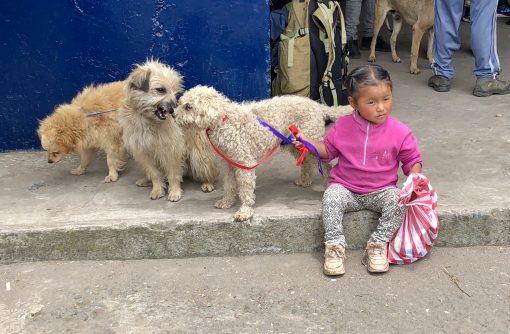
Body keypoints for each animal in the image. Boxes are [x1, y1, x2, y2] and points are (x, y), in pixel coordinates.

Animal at [118, 59, 218, 201]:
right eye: (161, 90)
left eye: (175, 91)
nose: (174, 109)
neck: (148, 121)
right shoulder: (143, 152)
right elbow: (154, 174)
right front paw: (157, 189)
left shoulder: (171, 150)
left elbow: (173, 174)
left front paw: (174, 191)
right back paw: (145, 180)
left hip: (198, 155)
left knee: (209, 169)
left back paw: (207, 182)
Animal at [173, 86, 352, 222]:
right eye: (180, 103)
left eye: (188, 106)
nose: (173, 115)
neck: (224, 121)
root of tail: (318, 106)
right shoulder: (229, 164)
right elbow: (229, 185)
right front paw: (226, 202)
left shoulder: (243, 162)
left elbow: (245, 188)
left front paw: (244, 211)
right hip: (295, 144)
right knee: (306, 162)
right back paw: (305, 180)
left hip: (311, 142)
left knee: (326, 165)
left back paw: (327, 182)